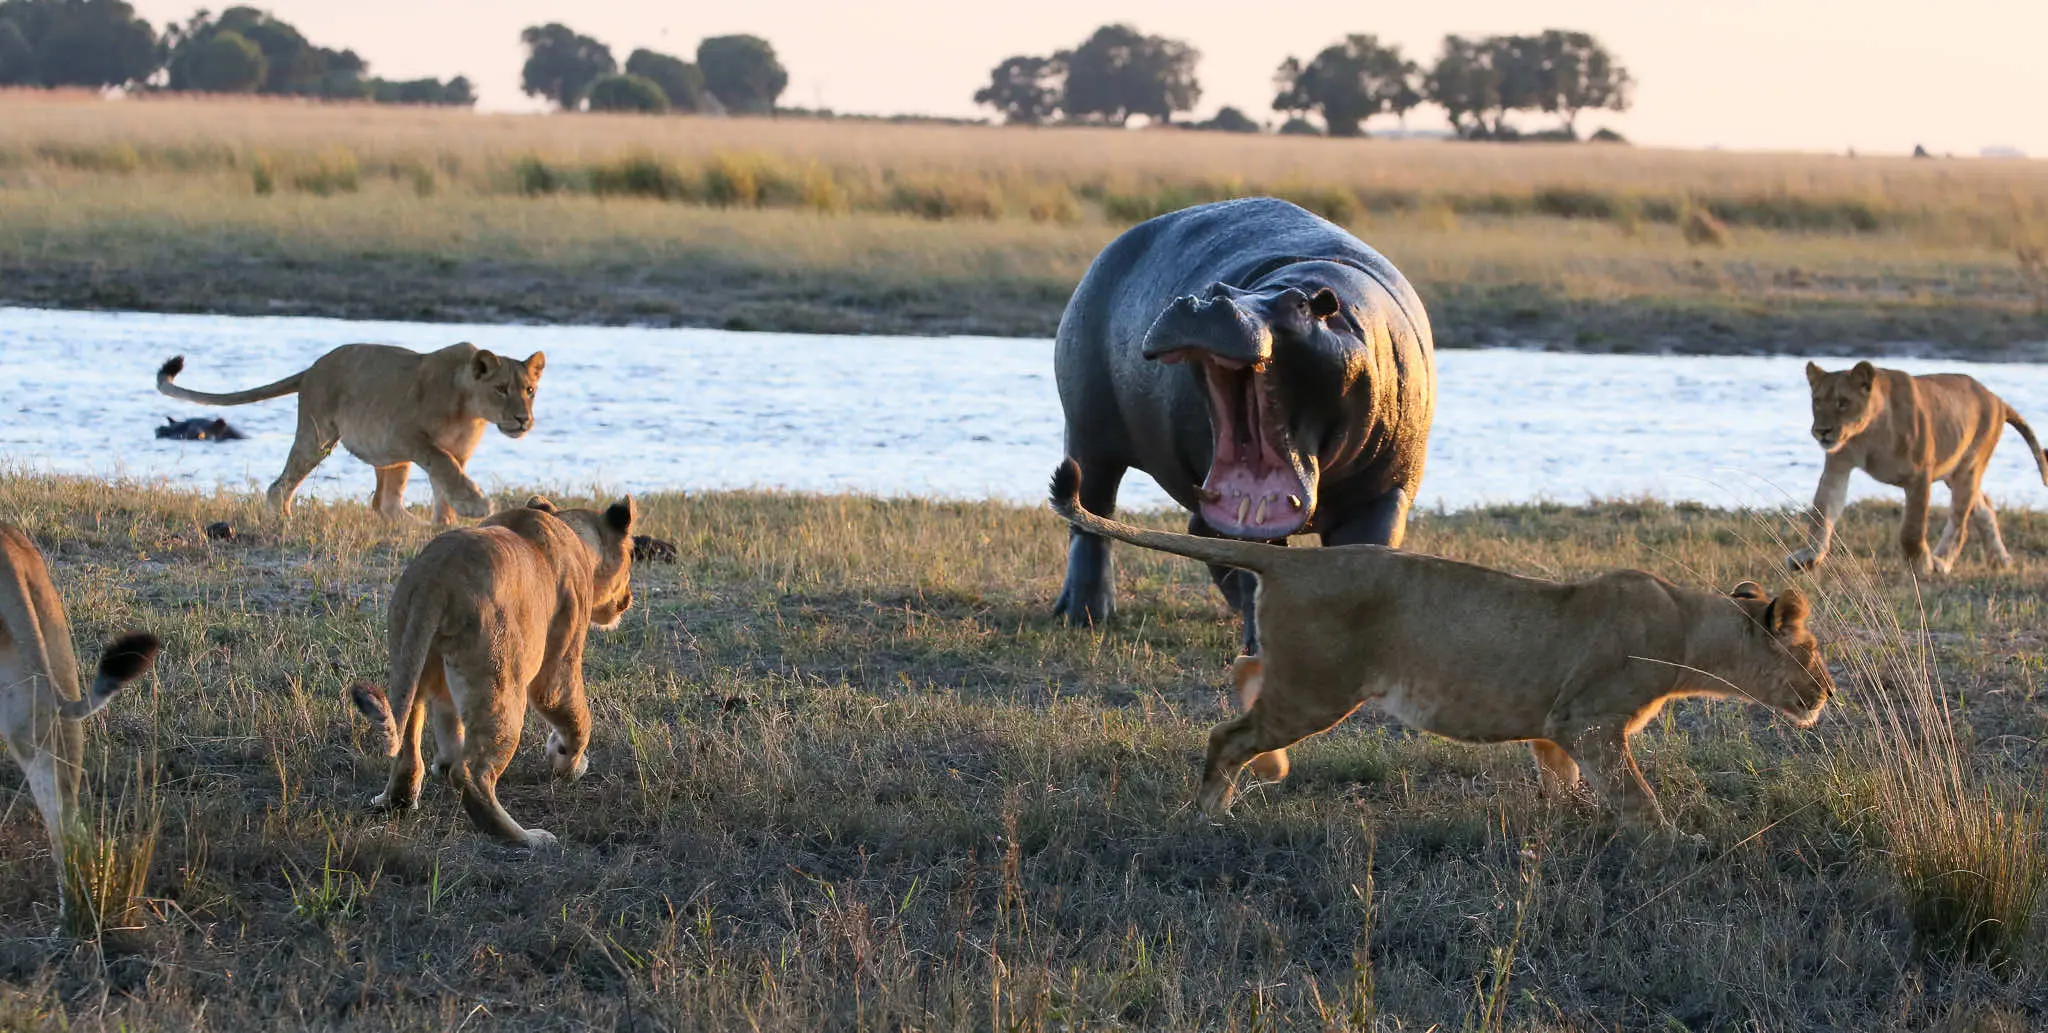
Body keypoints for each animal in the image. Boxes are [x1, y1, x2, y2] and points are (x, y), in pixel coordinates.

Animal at [156, 342, 545, 524]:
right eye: (501, 389)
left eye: (529, 390)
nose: (523, 420)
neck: (470, 411)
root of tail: (313, 367)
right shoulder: (406, 434)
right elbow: (442, 464)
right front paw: (474, 504)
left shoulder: (454, 451)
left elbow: (445, 482)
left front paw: (445, 522)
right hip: (318, 438)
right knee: (280, 485)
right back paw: (283, 517)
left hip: (388, 457)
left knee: (385, 504)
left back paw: (417, 526)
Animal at [347, 494, 635, 849]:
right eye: (633, 555)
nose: (628, 598)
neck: (570, 529)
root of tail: (435, 576)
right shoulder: (558, 668)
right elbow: (577, 719)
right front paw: (568, 762)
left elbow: (448, 721)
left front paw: (443, 762)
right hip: (503, 682)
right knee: (472, 773)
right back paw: (528, 838)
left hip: (411, 660)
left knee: (407, 747)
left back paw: (397, 800)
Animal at [1050, 459, 1834, 834]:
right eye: (1815, 653)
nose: (1828, 693)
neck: (1691, 627)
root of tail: (1294, 562)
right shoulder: (1591, 721)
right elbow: (1636, 796)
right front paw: (1674, 842)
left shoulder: (1555, 725)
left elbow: (1563, 780)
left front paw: (1566, 821)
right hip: (1318, 689)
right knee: (1226, 734)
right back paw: (1215, 809)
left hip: (1297, 676)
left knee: (1244, 670)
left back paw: (1264, 771)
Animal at [1790, 361, 2048, 575]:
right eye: (1817, 401)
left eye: (1843, 402)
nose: (1822, 431)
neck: (1866, 436)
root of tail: (1996, 399)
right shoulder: (1838, 467)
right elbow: (1822, 511)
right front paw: (1808, 557)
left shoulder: (1920, 475)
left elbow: (1911, 529)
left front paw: (1922, 564)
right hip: (1953, 471)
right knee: (1984, 507)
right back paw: (2000, 559)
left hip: (1970, 466)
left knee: (1960, 522)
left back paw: (1941, 562)